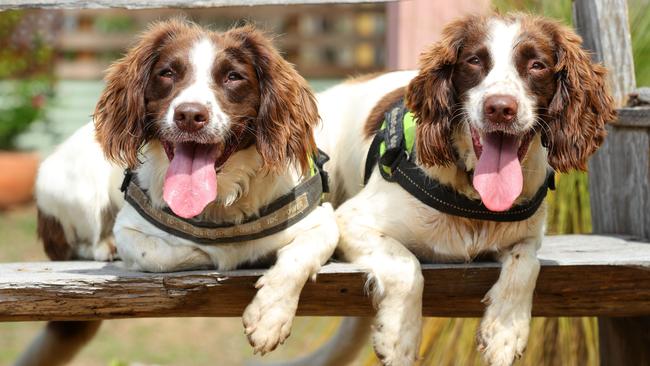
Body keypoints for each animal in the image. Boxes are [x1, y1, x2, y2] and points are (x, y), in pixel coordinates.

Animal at [23, 20, 336, 366]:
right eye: (168, 73)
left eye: (233, 76)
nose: (189, 115)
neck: (221, 200)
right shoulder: (129, 229)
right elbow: (167, 253)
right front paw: (221, 255)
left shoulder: (322, 218)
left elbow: (301, 254)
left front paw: (269, 316)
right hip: (77, 190)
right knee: (79, 243)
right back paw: (105, 247)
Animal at [308, 12, 612, 366]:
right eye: (474, 60)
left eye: (537, 64)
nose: (500, 108)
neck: (474, 197)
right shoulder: (352, 220)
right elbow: (406, 265)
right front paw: (399, 337)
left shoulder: (528, 236)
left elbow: (527, 263)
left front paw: (505, 332)